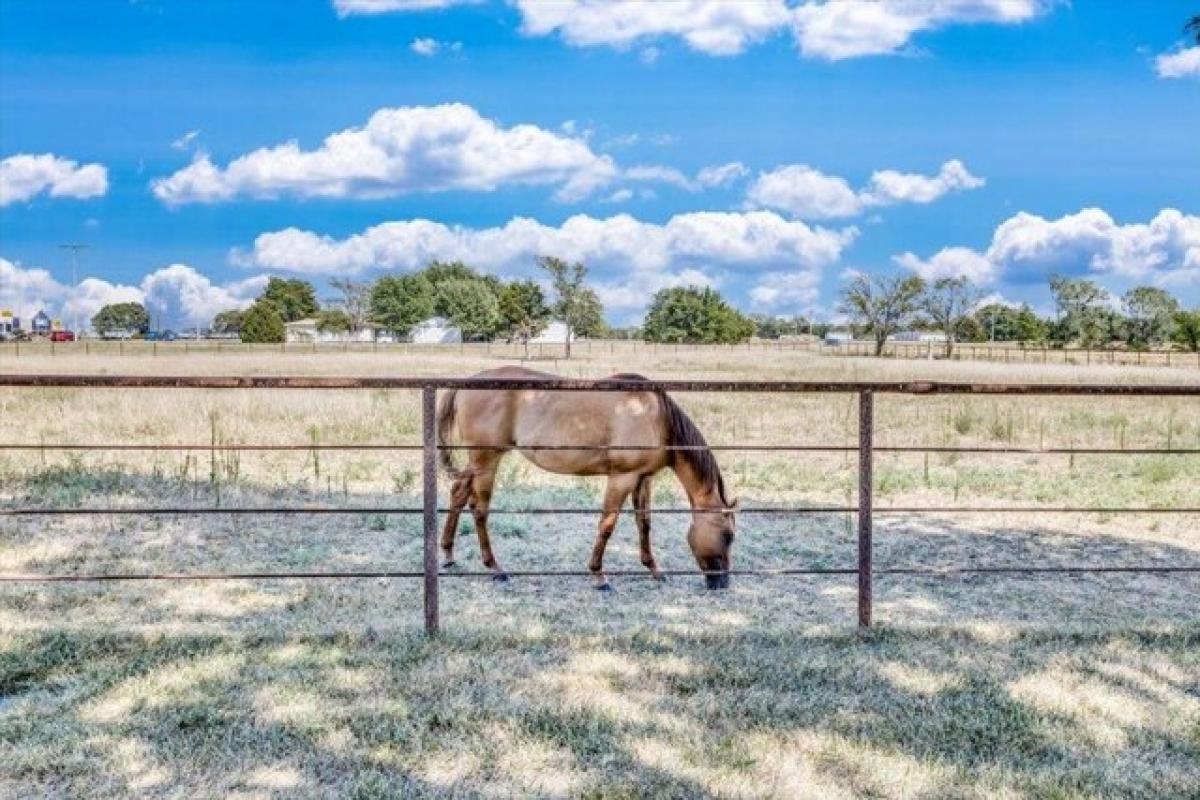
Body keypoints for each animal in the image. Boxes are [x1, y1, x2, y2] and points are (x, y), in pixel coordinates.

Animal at [436, 367, 734, 587]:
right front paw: (598, 575)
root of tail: (467, 383)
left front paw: (654, 569)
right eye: (728, 535)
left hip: (477, 463)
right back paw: (495, 568)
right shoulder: (622, 478)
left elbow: (644, 524)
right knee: (479, 510)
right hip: (486, 461)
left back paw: (448, 554)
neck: (653, 416)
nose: (722, 583)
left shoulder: (642, 479)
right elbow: (607, 525)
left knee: (458, 493)